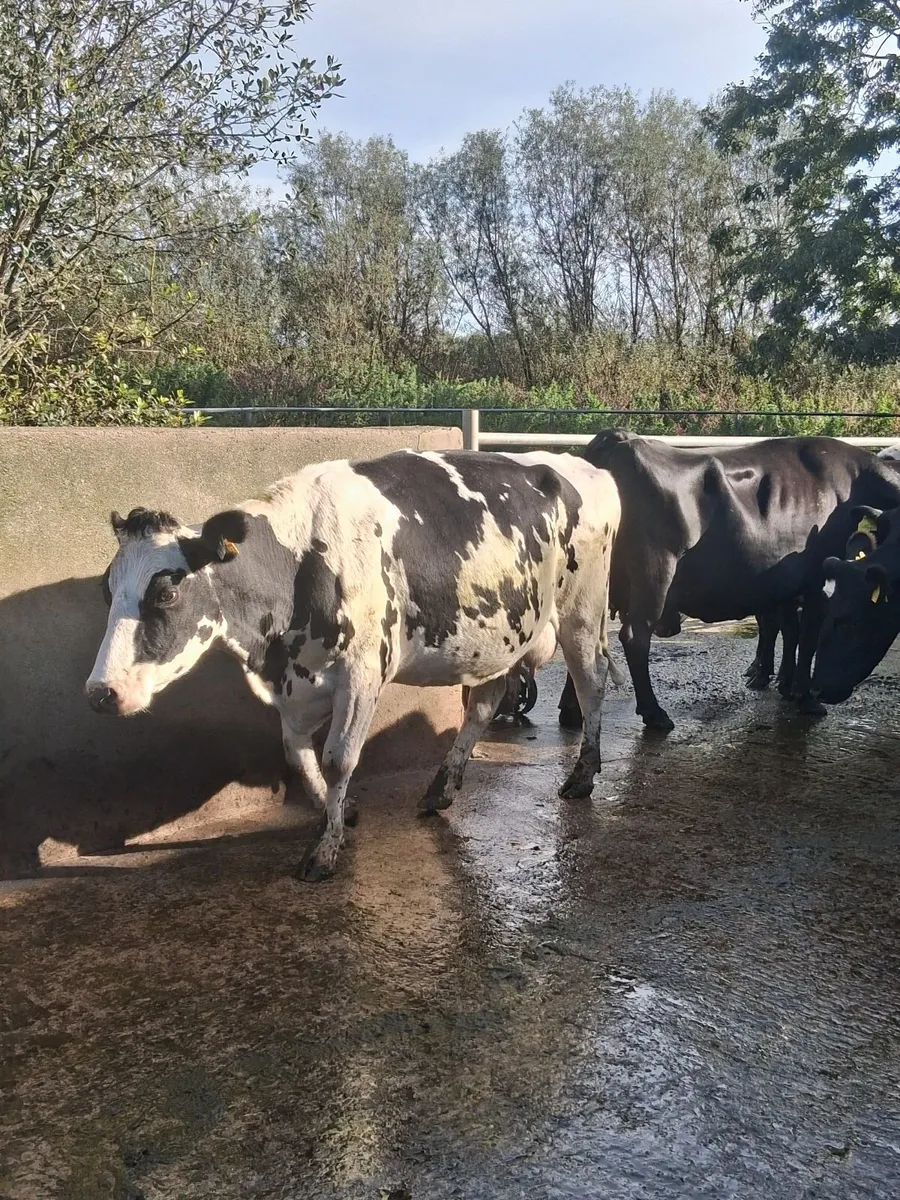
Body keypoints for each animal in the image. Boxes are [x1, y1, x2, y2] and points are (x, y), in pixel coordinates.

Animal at [86, 450, 620, 881]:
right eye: (107, 591)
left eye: (166, 593)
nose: (100, 692)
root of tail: (582, 465)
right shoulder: (295, 686)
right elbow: (298, 757)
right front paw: (341, 811)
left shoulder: (363, 673)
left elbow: (338, 757)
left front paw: (324, 850)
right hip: (494, 637)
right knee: (485, 703)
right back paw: (441, 788)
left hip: (581, 610)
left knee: (591, 684)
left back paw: (582, 776)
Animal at [556, 431, 900, 732]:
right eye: (849, 621)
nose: (824, 690)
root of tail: (617, 440)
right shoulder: (816, 579)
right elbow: (808, 635)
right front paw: (805, 698)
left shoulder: (786, 584)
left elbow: (790, 630)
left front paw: (785, 685)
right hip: (654, 572)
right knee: (635, 637)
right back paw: (654, 714)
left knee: (586, 636)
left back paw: (572, 712)